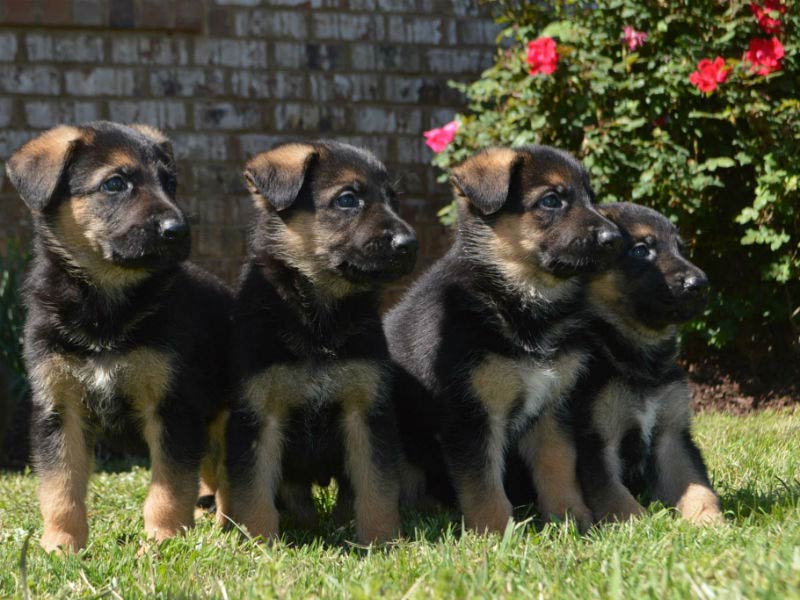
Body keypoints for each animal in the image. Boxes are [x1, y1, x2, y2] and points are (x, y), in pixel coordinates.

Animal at [6, 122, 231, 552]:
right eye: (115, 184)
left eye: (170, 183)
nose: (178, 230)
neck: (105, 306)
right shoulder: (58, 410)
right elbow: (61, 487)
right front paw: (61, 544)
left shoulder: (171, 406)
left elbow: (169, 486)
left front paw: (162, 539)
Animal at [219, 139, 418, 544]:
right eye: (347, 200)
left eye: (393, 199)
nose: (410, 243)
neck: (319, 318)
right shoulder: (258, 415)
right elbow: (254, 488)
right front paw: (259, 542)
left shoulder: (367, 412)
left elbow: (376, 485)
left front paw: (381, 540)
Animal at [384, 146, 620, 536]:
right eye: (551, 200)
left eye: (591, 197)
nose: (614, 240)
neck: (523, 300)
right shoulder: (472, 414)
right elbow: (482, 485)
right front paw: (496, 533)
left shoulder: (553, 407)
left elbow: (558, 467)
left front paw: (570, 519)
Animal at [528, 202, 720, 524]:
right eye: (641, 250)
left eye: (680, 248)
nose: (701, 284)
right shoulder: (597, 443)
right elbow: (615, 497)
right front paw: (640, 526)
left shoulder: (671, 438)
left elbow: (697, 487)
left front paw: (711, 520)